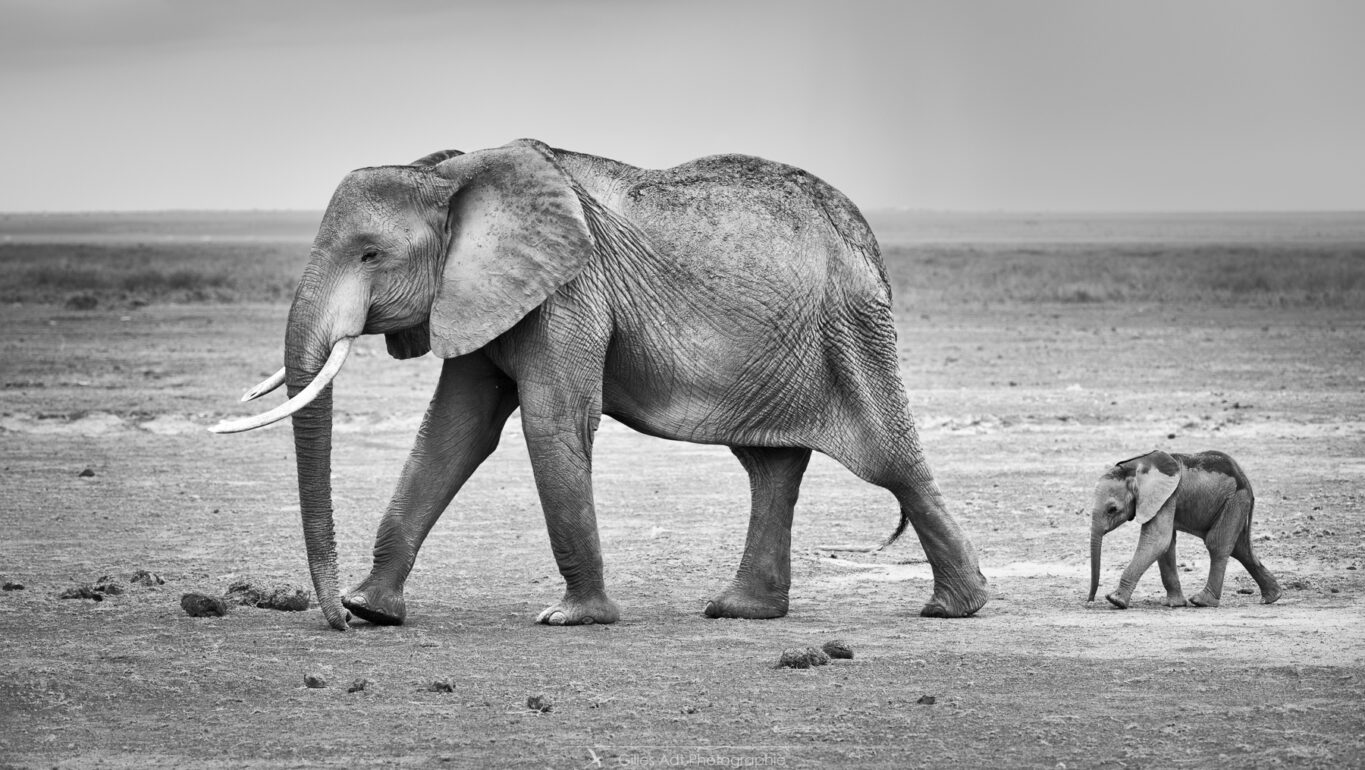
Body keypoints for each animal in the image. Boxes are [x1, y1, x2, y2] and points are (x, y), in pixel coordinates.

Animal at [212, 139, 988, 630]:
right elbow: (453, 435)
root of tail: (868, 240)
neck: (456, 173)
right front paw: (373, 610)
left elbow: (551, 422)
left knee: (890, 461)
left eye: (371, 255)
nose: (335, 622)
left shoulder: (568, 289)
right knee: (770, 466)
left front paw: (571, 618)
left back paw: (955, 608)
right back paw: (738, 610)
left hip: (852, 326)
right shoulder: (482, 294)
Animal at [1086, 447, 1277, 611]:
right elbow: (1166, 544)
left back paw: (1201, 602)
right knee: (1240, 549)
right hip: (1235, 502)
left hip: (1235, 500)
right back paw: (1271, 597)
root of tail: (1246, 481)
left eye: (1112, 509)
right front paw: (1174, 604)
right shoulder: (1165, 499)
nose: (1090, 601)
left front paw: (1115, 600)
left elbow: (1157, 541)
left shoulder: (1168, 497)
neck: (1134, 468)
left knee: (1217, 544)